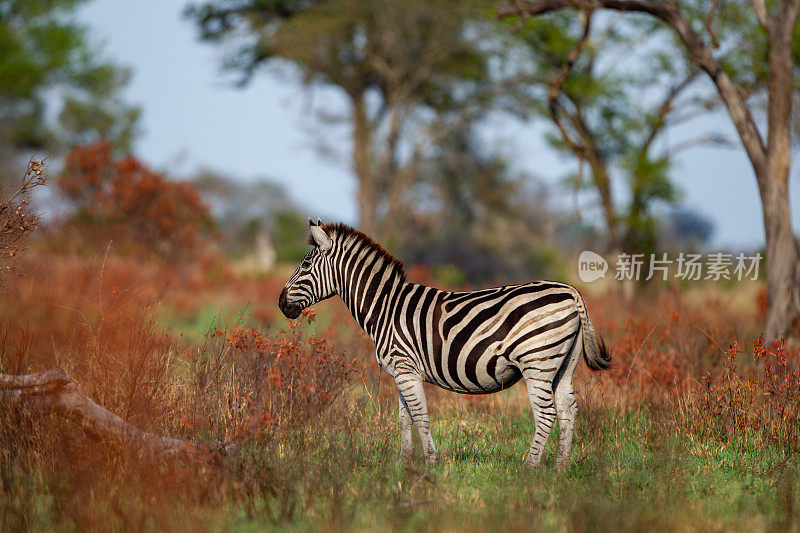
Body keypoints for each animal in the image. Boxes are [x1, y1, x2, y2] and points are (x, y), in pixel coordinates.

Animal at [278, 219, 608, 466]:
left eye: (305, 265)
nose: (281, 304)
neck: (385, 307)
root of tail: (571, 291)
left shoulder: (404, 367)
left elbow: (420, 417)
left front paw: (430, 463)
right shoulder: (402, 372)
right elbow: (405, 420)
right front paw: (402, 465)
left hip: (537, 361)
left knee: (546, 413)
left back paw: (530, 467)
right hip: (562, 364)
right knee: (568, 409)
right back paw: (560, 467)